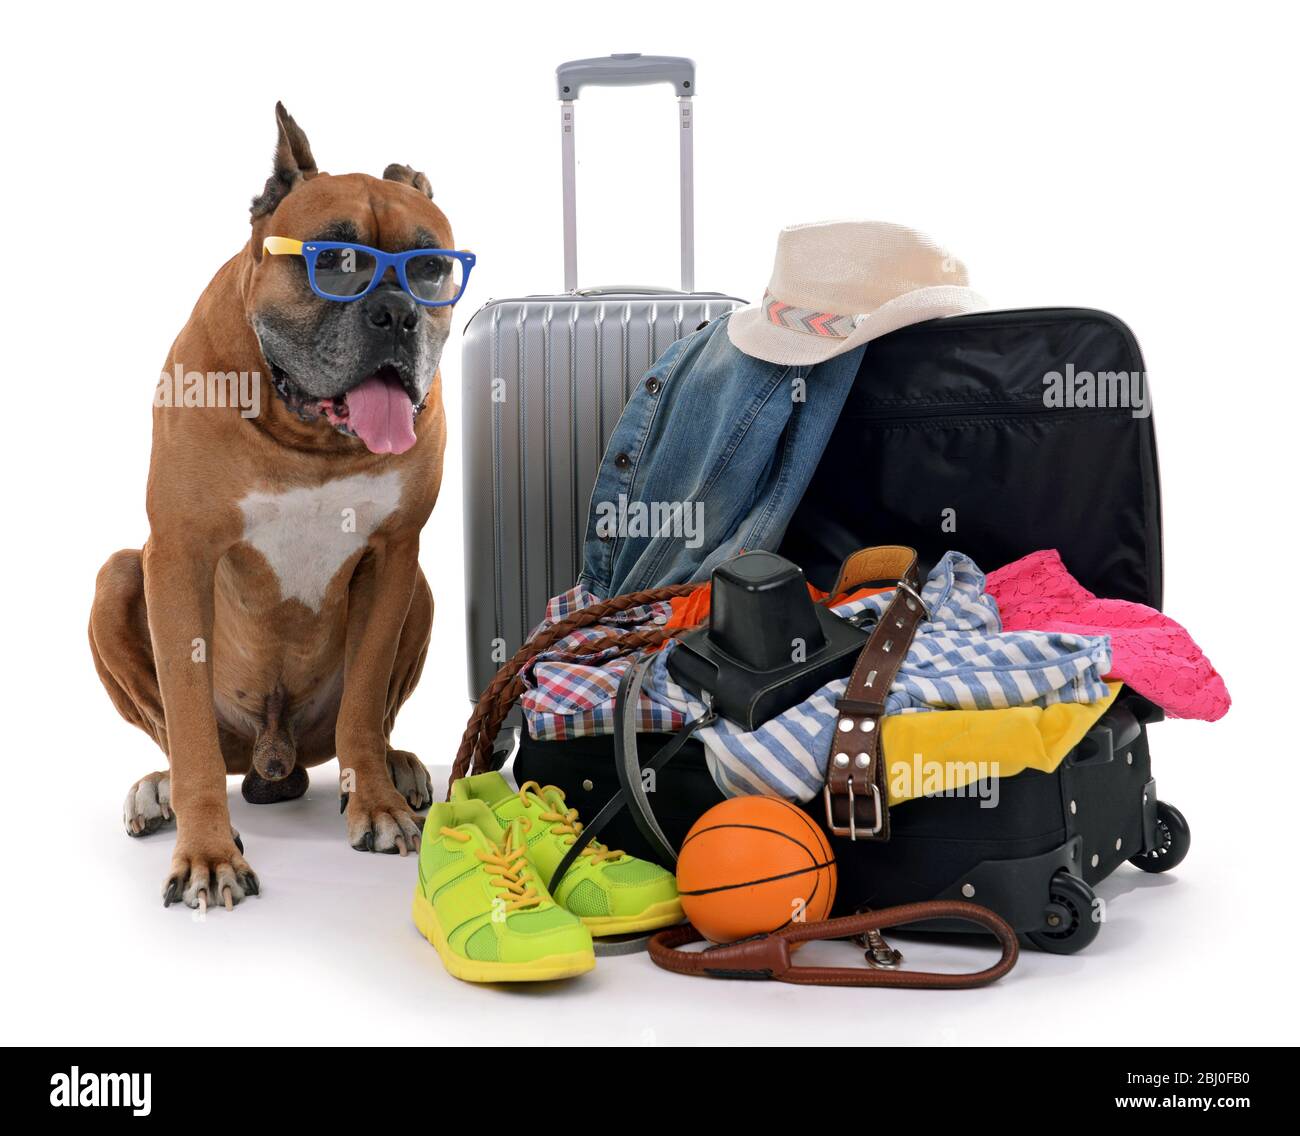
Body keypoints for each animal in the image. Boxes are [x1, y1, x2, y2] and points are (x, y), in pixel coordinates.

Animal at [91, 102, 457, 909]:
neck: (310, 438)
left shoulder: (395, 557)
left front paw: (375, 801)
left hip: (419, 592)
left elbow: (364, 701)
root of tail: (273, 756)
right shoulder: (179, 556)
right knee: (175, 734)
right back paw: (157, 788)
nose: (396, 314)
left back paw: (393, 767)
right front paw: (206, 851)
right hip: (118, 578)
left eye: (431, 267)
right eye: (334, 260)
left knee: (367, 721)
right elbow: (189, 724)